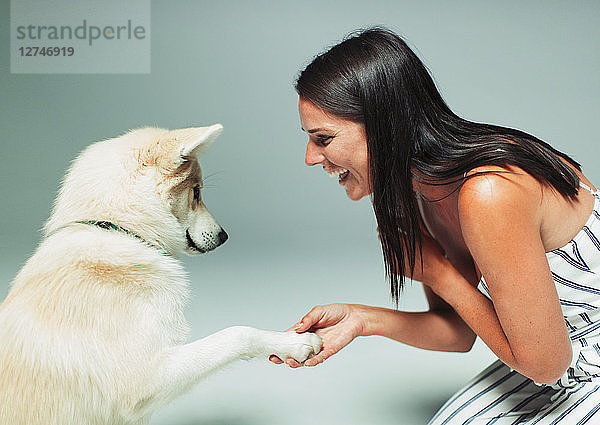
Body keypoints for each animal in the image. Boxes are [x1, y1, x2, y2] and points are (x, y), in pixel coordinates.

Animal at [0, 123, 324, 424]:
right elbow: (237, 333)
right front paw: (295, 343)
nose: (224, 236)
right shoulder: (146, 379)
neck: (119, 230)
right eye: (196, 192)